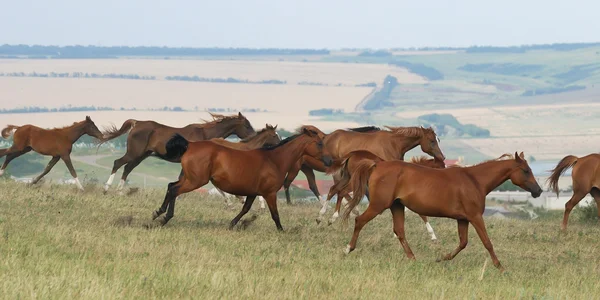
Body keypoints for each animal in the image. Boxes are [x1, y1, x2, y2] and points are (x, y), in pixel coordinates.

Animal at [98, 111, 255, 193]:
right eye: (247, 125)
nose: (254, 136)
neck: (205, 135)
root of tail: (136, 123)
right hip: (134, 153)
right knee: (118, 163)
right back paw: (107, 188)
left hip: (141, 155)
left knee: (127, 168)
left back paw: (119, 191)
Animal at [149, 125, 332, 231]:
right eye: (319, 143)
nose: (330, 161)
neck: (275, 160)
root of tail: (190, 145)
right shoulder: (270, 193)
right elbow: (275, 215)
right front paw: (282, 231)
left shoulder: (252, 192)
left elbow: (245, 209)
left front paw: (233, 224)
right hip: (195, 181)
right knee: (174, 189)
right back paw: (162, 216)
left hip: (190, 179)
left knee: (171, 186)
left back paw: (160, 214)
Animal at [282, 125, 446, 224]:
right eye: (432, 141)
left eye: (438, 140)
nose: (442, 157)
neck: (393, 143)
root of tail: (326, 136)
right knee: (334, 190)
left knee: (330, 189)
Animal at [342, 152, 544, 272]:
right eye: (526, 170)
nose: (539, 191)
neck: (475, 180)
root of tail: (377, 165)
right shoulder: (475, 217)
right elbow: (487, 242)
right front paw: (500, 267)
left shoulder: (463, 219)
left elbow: (463, 243)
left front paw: (440, 258)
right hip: (379, 205)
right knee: (359, 221)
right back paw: (348, 249)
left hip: (396, 206)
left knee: (399, 231)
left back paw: (413, 259)